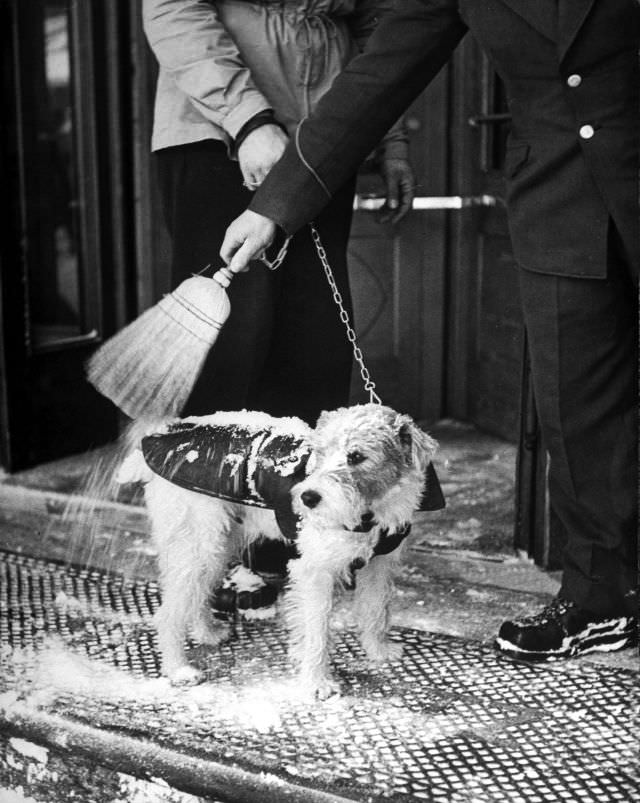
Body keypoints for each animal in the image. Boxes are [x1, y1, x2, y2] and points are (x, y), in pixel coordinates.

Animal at [117, 406, 440, 700]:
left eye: (357, 456)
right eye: (320, 452)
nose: (307, 498)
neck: (371, 510)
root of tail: (158, 437)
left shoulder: (380, 565)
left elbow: (375, 611)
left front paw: (378, 651)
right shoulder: (316, 572)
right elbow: (317, 631)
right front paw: (317, 683)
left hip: (217, 547)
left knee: (196, 595)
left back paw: (207, 633)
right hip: (199, 546)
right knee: (168, 613)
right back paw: (178, 670)